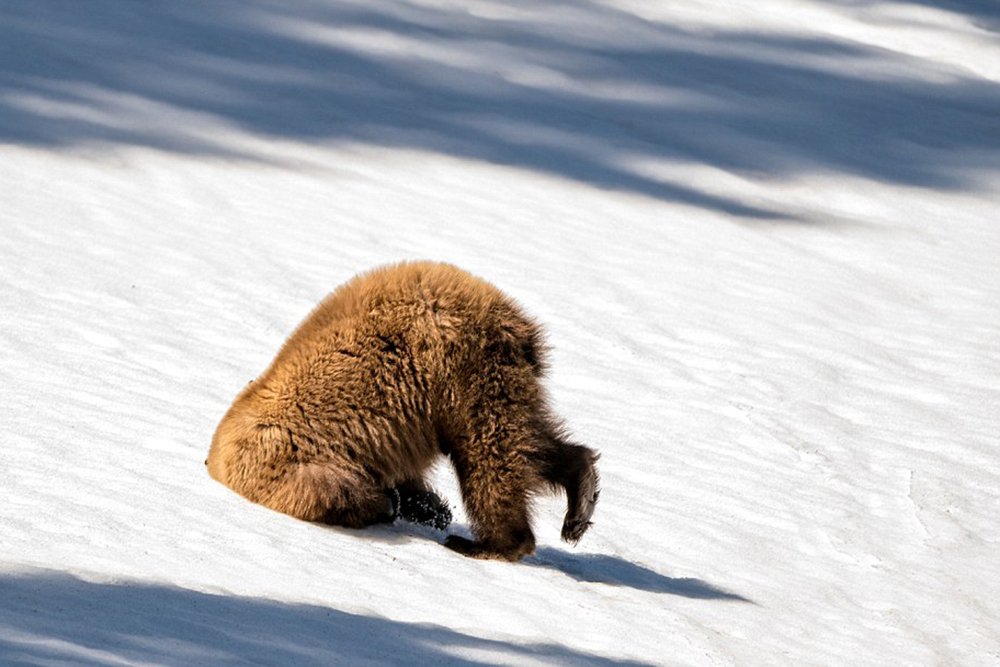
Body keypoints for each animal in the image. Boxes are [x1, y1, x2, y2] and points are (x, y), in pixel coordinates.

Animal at [206, 261, 599, 561]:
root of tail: (511, 319)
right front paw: (428, 507)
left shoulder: (289, 460)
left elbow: (331, 492)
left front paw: (393, 505)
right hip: (497, 380)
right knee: (527, 441)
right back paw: (579, 499)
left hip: (461, 375)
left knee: (489, 455)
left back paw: (488, 543)